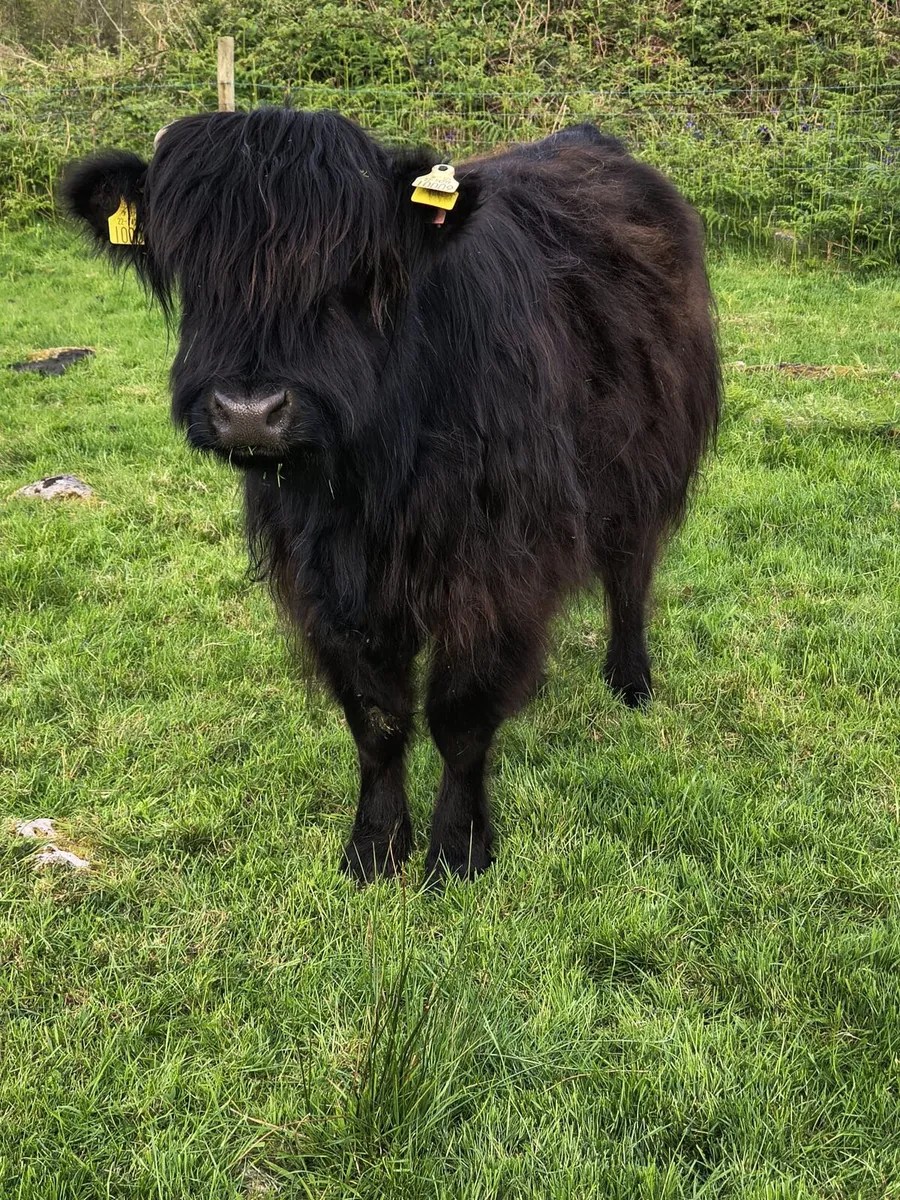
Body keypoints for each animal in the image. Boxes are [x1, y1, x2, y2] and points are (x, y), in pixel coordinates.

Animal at [63, 108, 720, 888]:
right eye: (193, 264)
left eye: (355, 269)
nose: (249, 412)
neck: (377, 474)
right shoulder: (326, 577)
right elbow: (376, 717)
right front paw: (375, 845)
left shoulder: (495, 567)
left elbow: (460, 715)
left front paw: (459, 849)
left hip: (641, 466)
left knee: (629, 573)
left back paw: (630, 678)